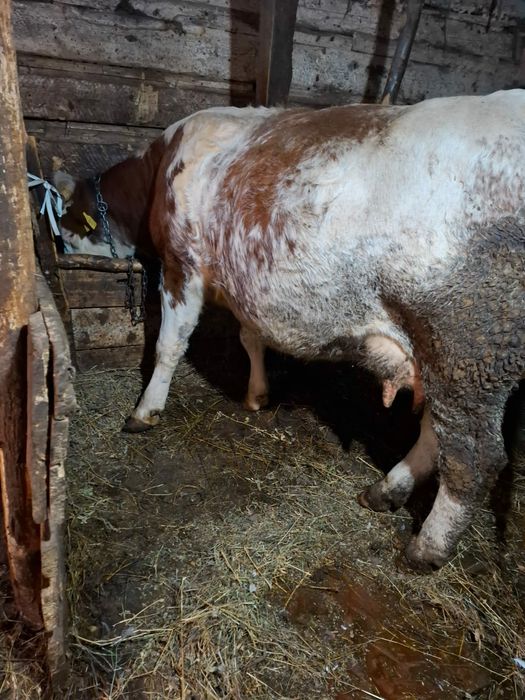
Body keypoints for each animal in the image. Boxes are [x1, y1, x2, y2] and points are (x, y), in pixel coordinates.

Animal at [58, 90, 525, 570]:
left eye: (67, 221)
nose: (62, 255)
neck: (160, 169)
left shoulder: (180, 263)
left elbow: (170, 343)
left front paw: (146, 409)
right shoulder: (244, 283)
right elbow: (250, 338)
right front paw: (257, 394)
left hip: (467, 342)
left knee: (476, 457)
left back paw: (427, 546)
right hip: (451, 354)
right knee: (437, 433)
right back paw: (386, 490)